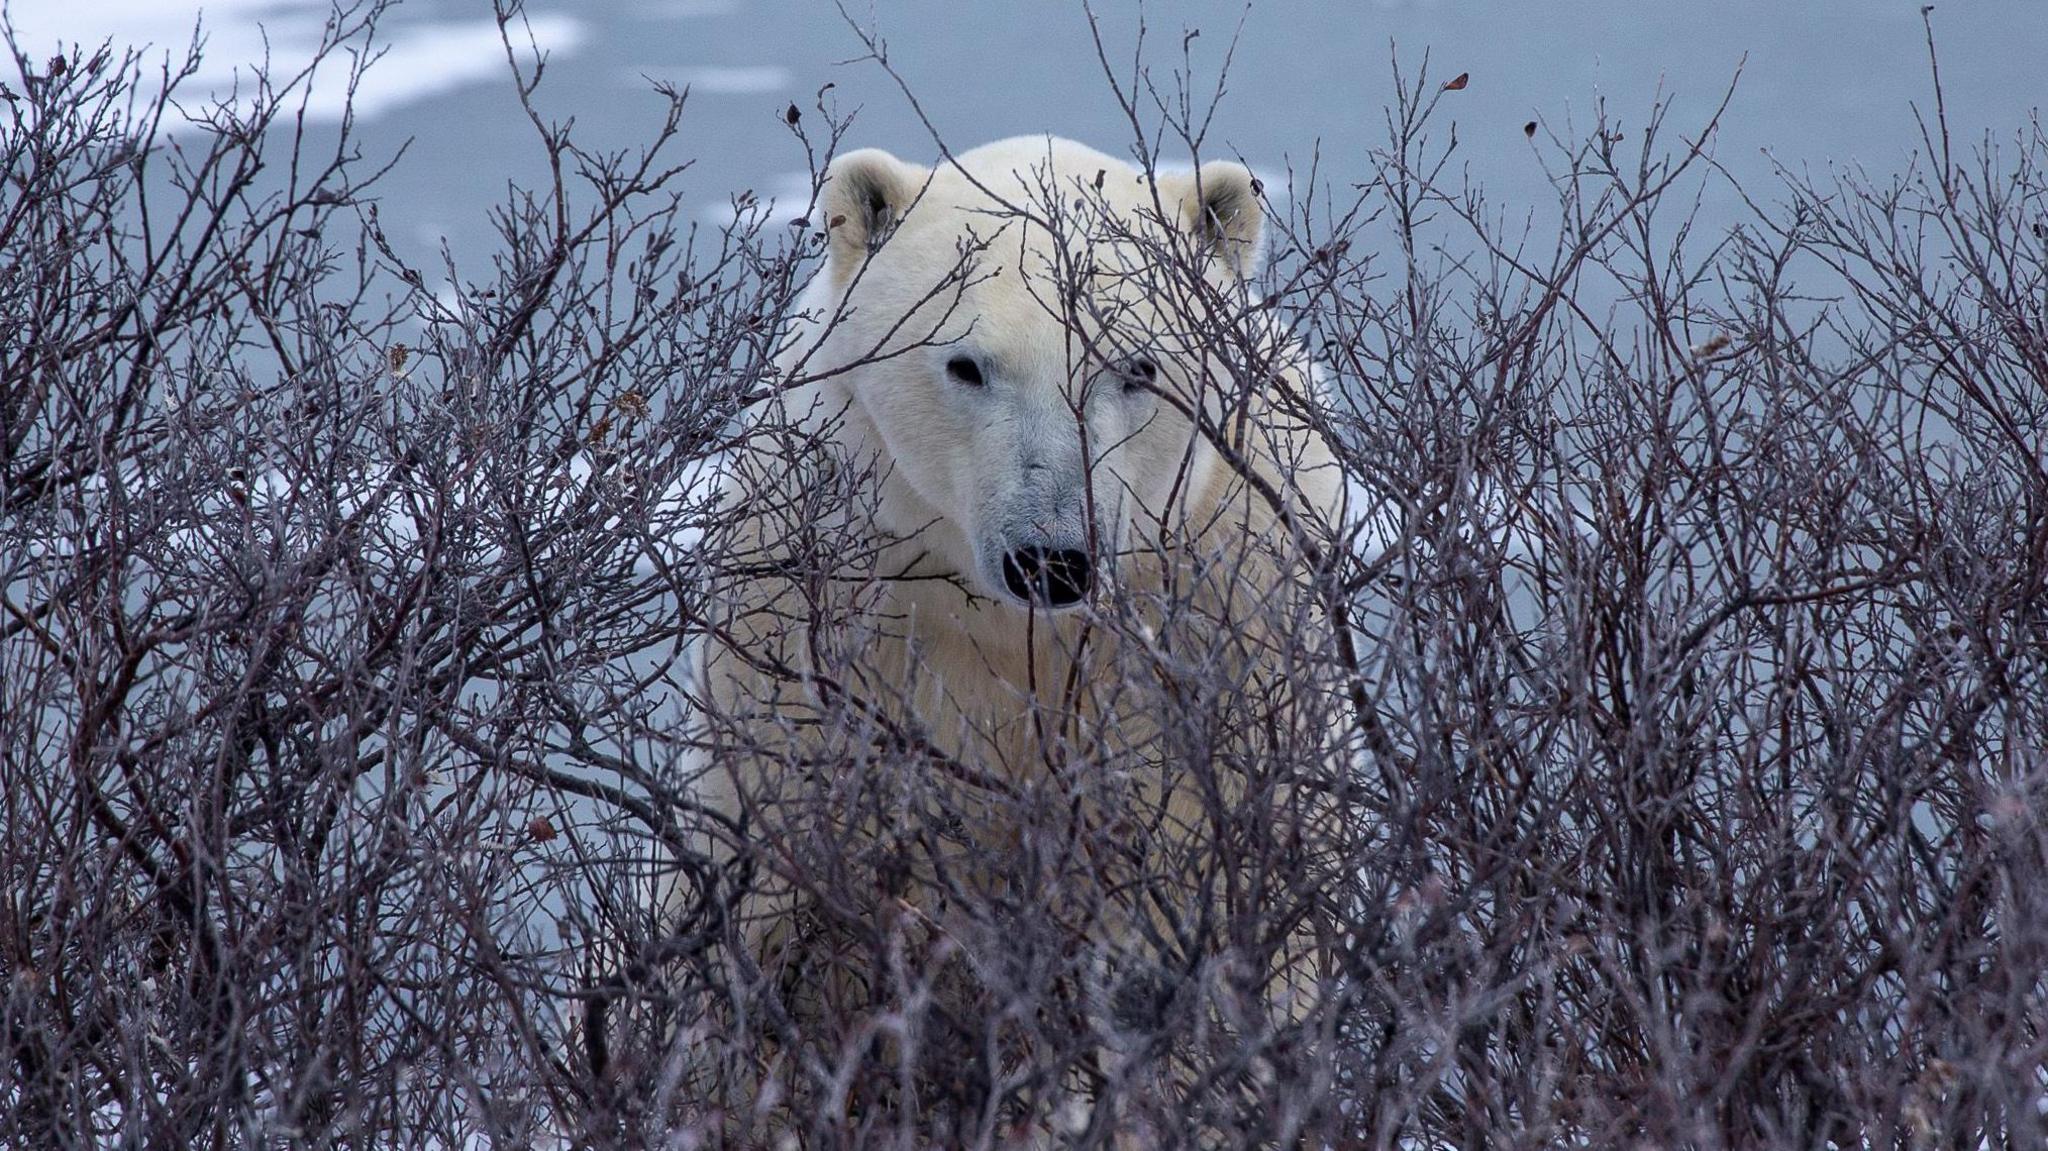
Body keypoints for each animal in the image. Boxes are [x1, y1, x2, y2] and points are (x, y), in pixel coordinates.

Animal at [696, 132, 1351, 1130]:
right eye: (967, 364)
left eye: (1139, 365)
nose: (1051, 557)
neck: (1018, 631)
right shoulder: (817, 634)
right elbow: (780, 898)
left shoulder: (1228, 621)